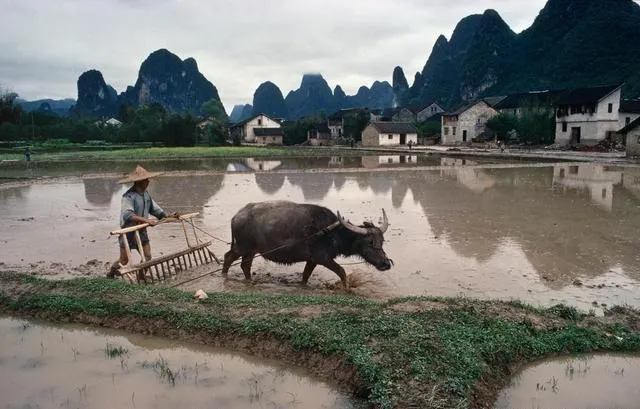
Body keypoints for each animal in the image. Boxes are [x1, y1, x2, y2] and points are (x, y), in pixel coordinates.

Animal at [221, 201, 392, 289]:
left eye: (382, 241)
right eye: (370, 242)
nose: (386, 263)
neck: (330, 232)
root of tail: (236, 217)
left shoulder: (312, 260)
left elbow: (305, 275)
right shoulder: (323, 258)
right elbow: (342, 272)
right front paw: (346, 288)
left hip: (250, 250)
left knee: (244, 265)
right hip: (242, 247)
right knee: (228, 257)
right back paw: (225, 275)